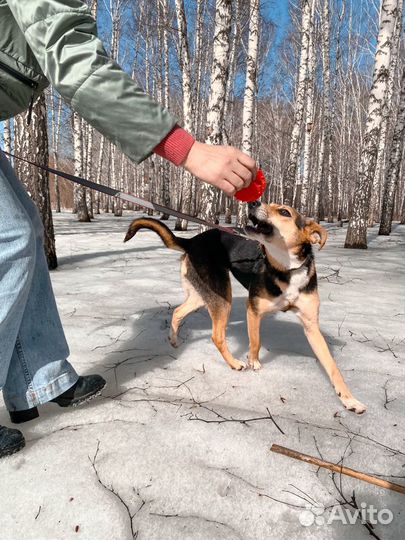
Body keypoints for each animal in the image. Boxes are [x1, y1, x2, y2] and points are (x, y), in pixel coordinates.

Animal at [124, 200, 366, 416]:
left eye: (284, 212)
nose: (253, 202)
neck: (285, 270)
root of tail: (192, 241)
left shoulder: (311, 325)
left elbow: (333, 367)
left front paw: (350, 400)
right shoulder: (254, 311)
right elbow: (255, 341)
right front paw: (253, 362)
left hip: (202, 295)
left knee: (177, 312)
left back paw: (174, 340)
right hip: (223, 297)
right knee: (217, 336)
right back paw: (234, 363)